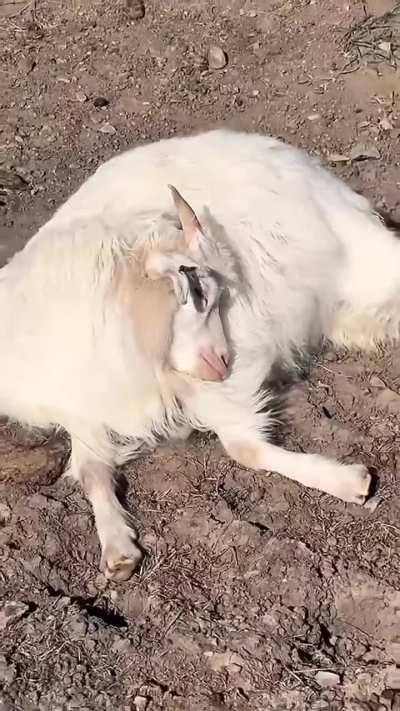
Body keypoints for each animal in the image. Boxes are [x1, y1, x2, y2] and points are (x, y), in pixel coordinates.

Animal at [1, 128, 396, 580]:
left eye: (218, 295)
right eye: (199, 293)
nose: (223, 361)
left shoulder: (225, 373)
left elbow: (244, 446)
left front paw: (350, 481)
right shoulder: (86, 411)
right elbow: (90, 471)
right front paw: (117, 548)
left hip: (362, 259)